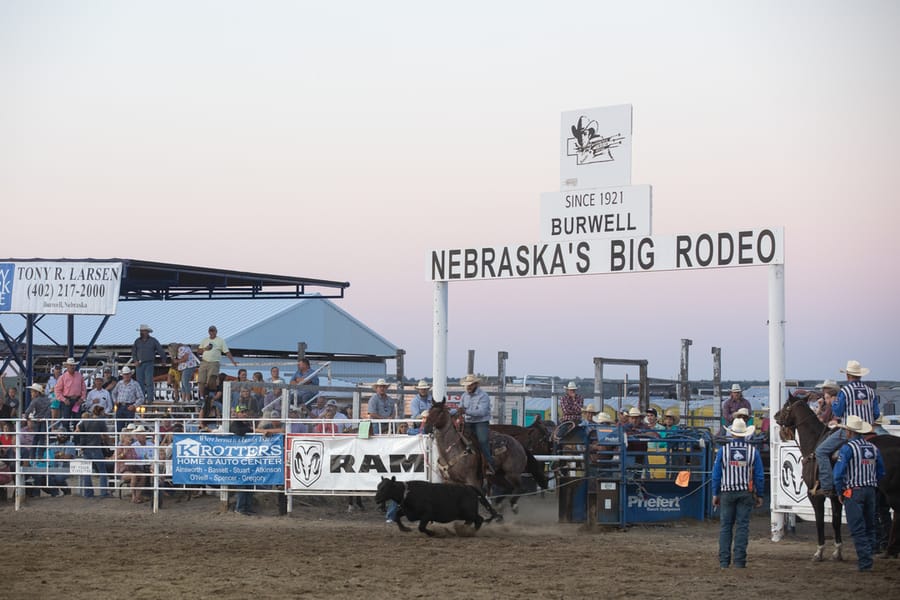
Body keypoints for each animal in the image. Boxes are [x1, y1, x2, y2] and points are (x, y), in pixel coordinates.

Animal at [772, 392, 900, 560]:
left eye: (786, 405)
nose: (775, 415)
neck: (815, 443)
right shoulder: (835, 495)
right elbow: (836, 521)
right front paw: (837, 551)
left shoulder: (815, 495)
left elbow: (820, 522)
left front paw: (819, 552)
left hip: (892, 493)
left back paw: (891, 550)